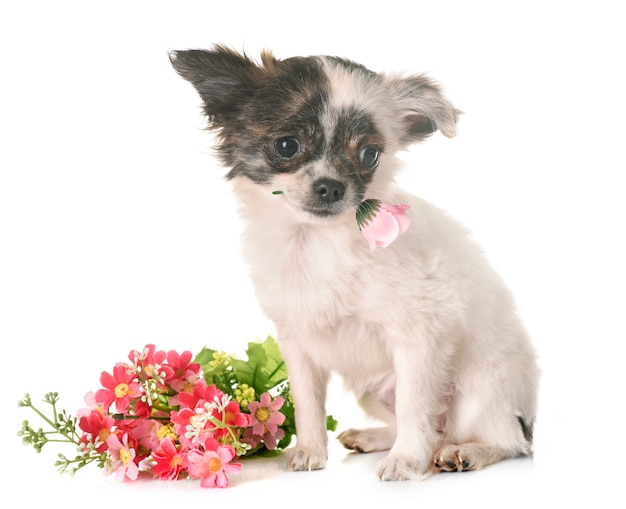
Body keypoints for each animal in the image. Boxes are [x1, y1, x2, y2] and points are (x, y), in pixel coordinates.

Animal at [169, 46, 536, 480]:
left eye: (369, 154)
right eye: (287, 145)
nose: (331, 187)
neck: (315, 244)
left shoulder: (421, 338)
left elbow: (415, 405)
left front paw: (407, 461)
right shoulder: (297, 344)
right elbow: (308, 402)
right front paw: (311, 450)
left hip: (479, 389)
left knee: (506, 441)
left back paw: (465, 452)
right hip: (372, 392)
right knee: (428, 428)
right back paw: (377, 438)